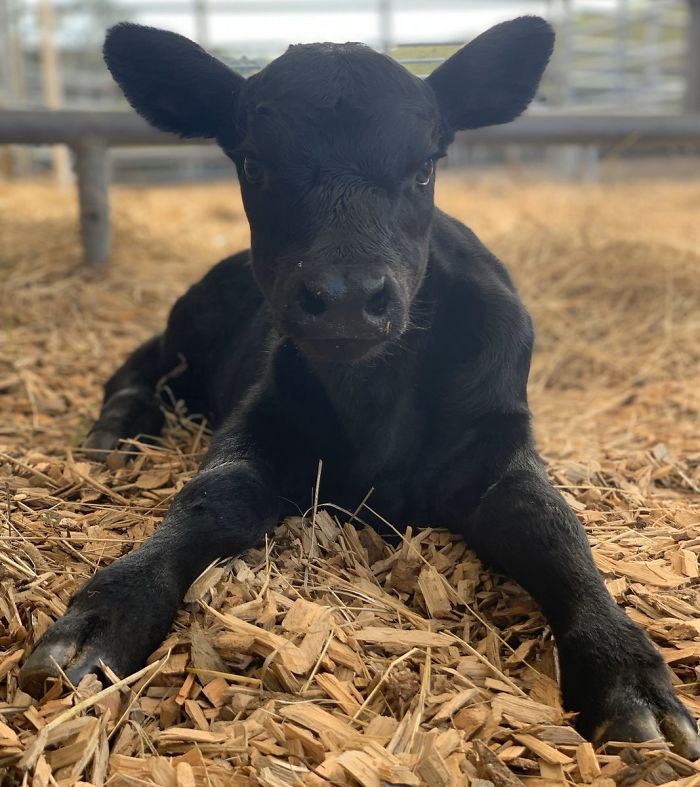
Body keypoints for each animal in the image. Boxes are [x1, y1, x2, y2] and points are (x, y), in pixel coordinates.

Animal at [19, 17, 700, 758]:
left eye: (425, 165)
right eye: (254, 164)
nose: (346, 297)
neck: (378, 413)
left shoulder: (498, 444)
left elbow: (555, 530)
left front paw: (628, 677)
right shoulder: (257, 422)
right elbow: (209, 500)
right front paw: (103, 616)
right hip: (186, 325)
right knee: (136, 369)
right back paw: (112, 435)